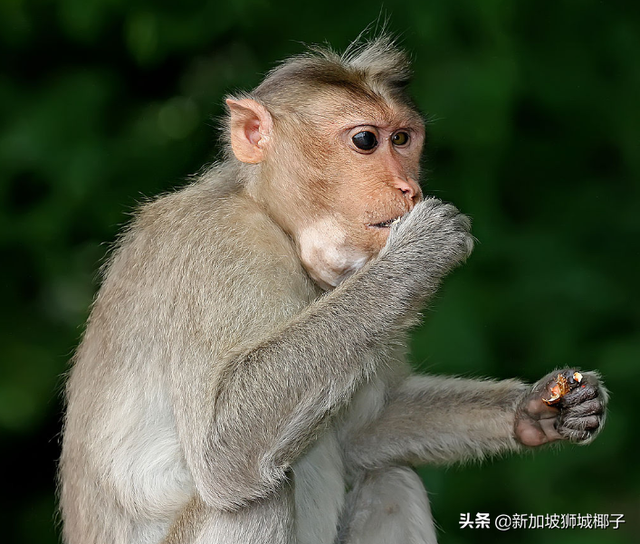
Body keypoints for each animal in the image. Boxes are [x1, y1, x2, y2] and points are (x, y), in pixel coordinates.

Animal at [57, 36, 608, 540]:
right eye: (366, 141)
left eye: (403, 139)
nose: (410, 189)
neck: (277, 224)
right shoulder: (220, 248)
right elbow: (222, 445)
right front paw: (419, 252)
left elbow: (362, 433)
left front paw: (535, 409)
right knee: (252, 497)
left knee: (392, 480)